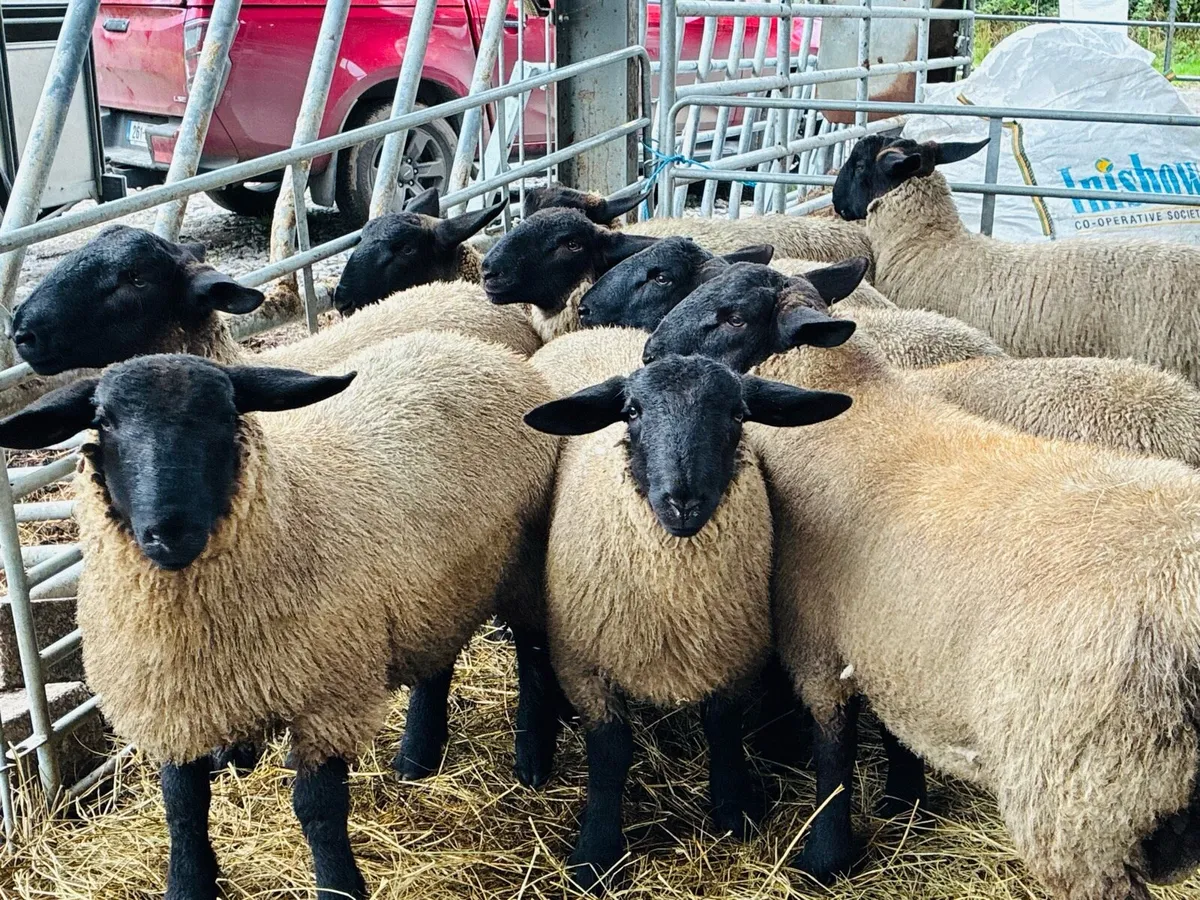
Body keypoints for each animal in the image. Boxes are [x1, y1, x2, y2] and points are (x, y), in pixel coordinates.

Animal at [0, 331, 559, 899]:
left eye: (225, 415)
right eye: (105, 421)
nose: (169, 531)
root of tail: (474, 347)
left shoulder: (327, 699)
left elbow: (319, 810)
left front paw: (338, 886)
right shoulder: (173, 705)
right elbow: (182, 806)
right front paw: (188, 882)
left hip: (524, 566)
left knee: (534, 655)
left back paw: (532, 760)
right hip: (437, 584)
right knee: (438, 661)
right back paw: (417, 756)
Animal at [523, 327, 852, 894]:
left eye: (739, 414)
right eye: (631, 411)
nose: (682, 502)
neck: (676, 600)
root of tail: (597, 330)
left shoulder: (735, 653)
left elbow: (722, 728)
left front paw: (735, 810)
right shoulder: (584, 661)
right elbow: (610, 752)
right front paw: (595, 854)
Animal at [647, 260, 1200, 900]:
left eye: (733, 316)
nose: (649, 350)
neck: (849, 410)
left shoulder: (817, 639)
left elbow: (833, 751)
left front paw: (825, 856)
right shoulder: (895, 641)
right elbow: (897, 729)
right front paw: (905, 802)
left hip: (1084, 797)